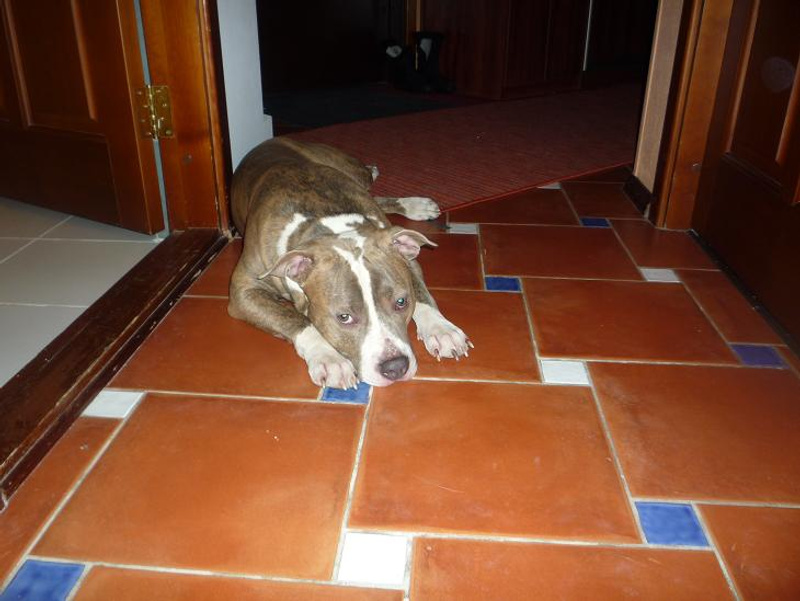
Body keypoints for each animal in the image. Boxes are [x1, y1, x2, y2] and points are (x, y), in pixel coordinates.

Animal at [228, 138, 470, 389]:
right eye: (344, 317)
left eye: (401, 302)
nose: (395, 367)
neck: (326, 224)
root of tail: (270, 140)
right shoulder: (244, 291)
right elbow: (294, 319)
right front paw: (328, 358)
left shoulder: (409, 261)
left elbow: (422, 294)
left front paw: (441, 329)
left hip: (354, 173)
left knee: (374, 190)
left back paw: (414, 204)